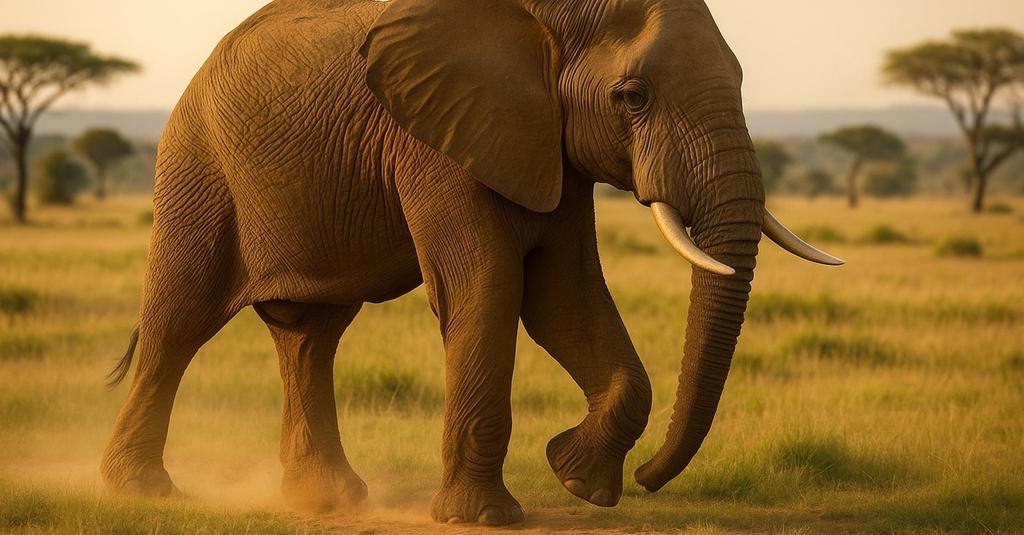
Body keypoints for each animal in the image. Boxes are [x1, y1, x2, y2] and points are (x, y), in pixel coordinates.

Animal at [100, 0, 842, 526]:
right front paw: (485, 517)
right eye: (631, 96)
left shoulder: (545, 140)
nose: (647, 478)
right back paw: (142, 492)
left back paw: (329, 501)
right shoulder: (436, 139)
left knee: (311, 336)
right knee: (179, 320)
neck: (545, 14)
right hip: (198, 165)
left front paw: (575, 476)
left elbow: (564, 298)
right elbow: (485, 286)